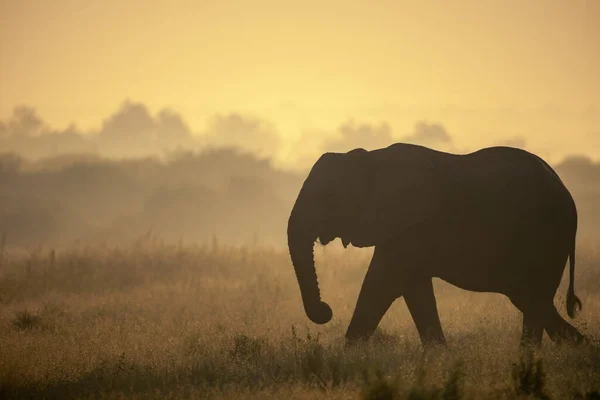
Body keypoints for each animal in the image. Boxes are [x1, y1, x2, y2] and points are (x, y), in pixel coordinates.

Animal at [288, 144, 584, 346]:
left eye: (328, 196)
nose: (326, 310)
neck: (368, 160)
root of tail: (567, 194)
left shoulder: (409, 225)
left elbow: (381, 284)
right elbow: (414, 289)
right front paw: (439, 356)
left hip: (547, 233)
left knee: (534, 299)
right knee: (530, 298)